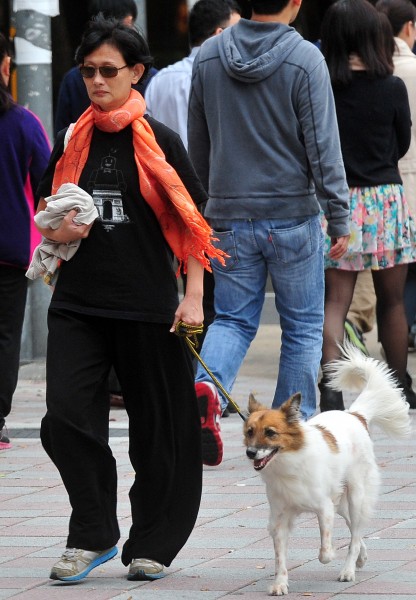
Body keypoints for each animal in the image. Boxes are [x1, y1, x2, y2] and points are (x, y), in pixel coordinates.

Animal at [244, 346, 410, 596]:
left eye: (271, 433)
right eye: (250, 432)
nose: (250, 453)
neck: (289, 463)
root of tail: (355, 415)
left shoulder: (324, 509)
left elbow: (325, 547)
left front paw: (330, 554)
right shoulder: (280, 519)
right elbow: (280, 557)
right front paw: (280, 583)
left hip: (355, 497)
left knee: (355, 535)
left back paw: (348, 570)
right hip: (341, 503)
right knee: (356, 531)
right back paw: (361, 557)